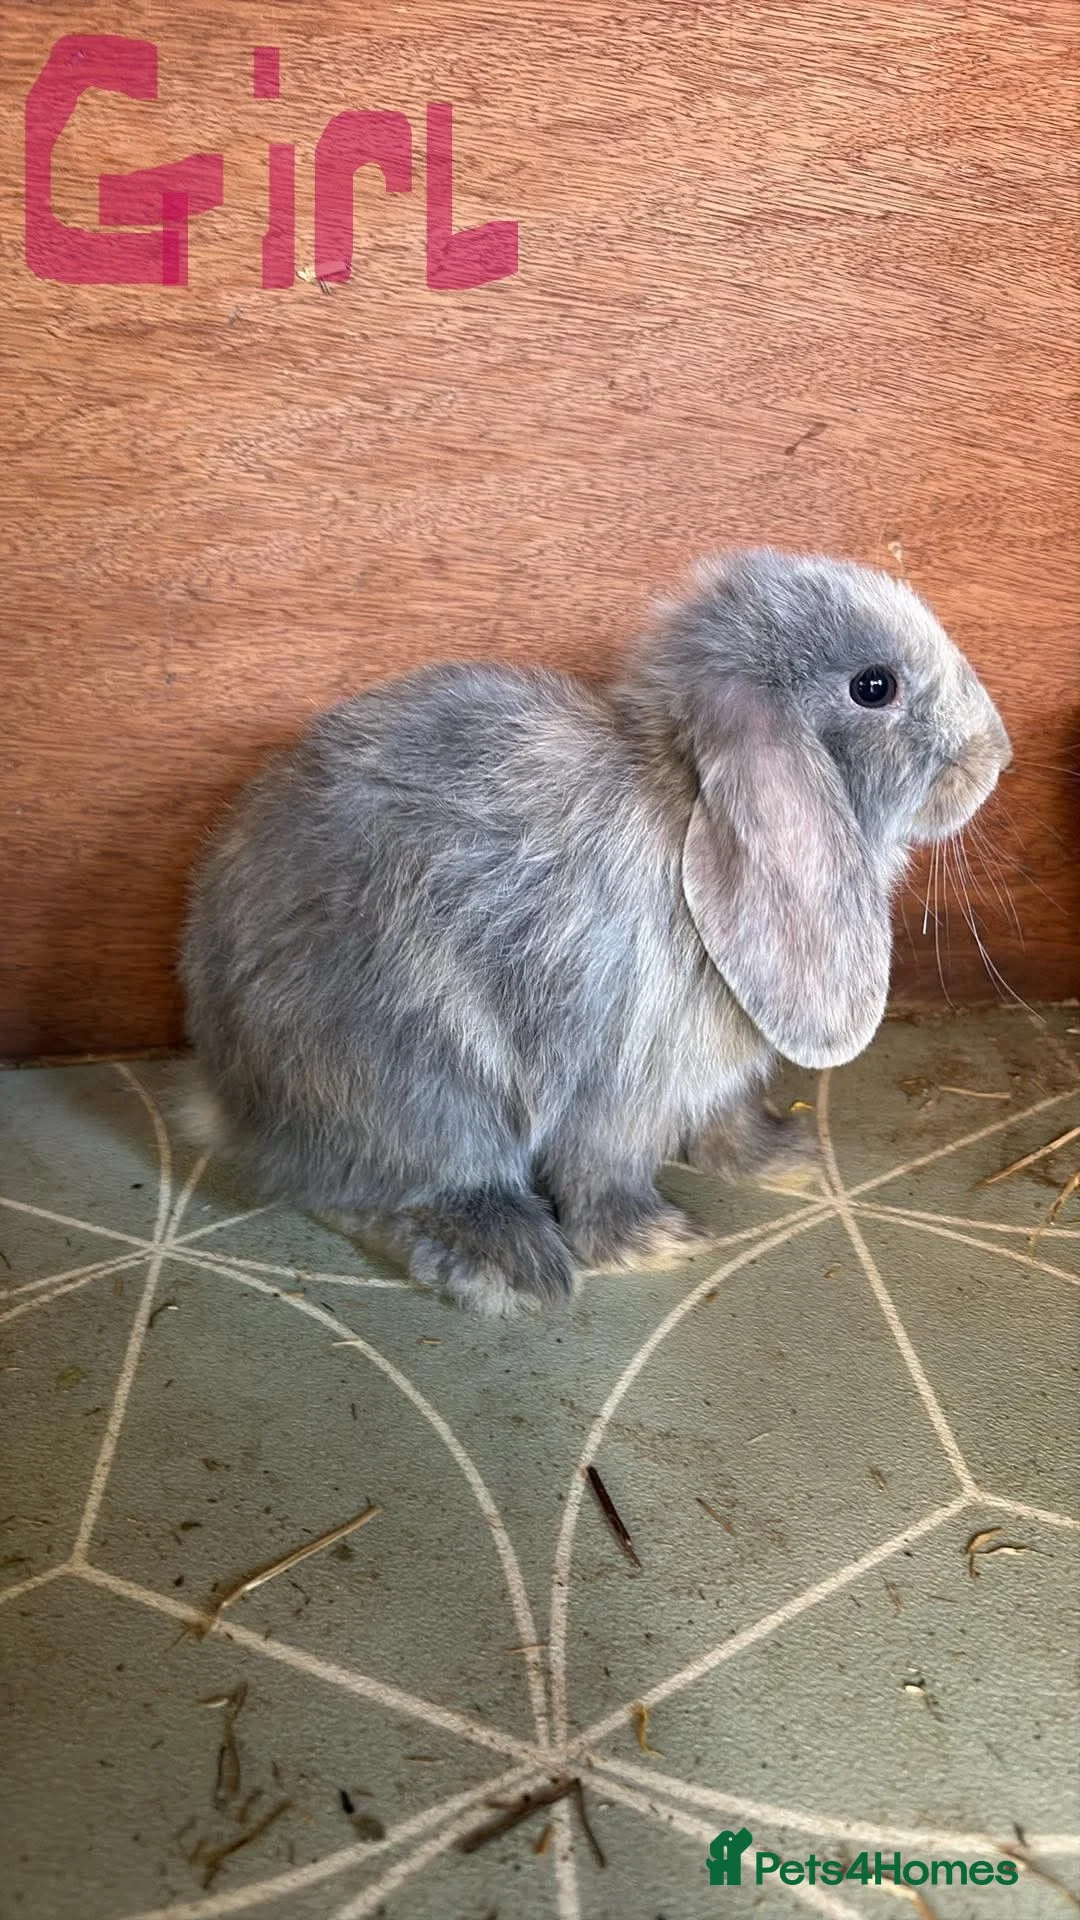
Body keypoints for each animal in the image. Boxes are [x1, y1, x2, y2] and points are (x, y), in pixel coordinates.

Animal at [180, 548, 1011, 1314]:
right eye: (874, 686)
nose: (996, 753)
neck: (688, 797)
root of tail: (236, 1100)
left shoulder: (709, 1079)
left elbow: (728, 1123)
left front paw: (787, 1158)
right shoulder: (617, 1084)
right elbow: (602, 1173)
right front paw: (655, 1243)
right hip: (425, 1088)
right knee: (381, 1190)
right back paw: (508, 1265)